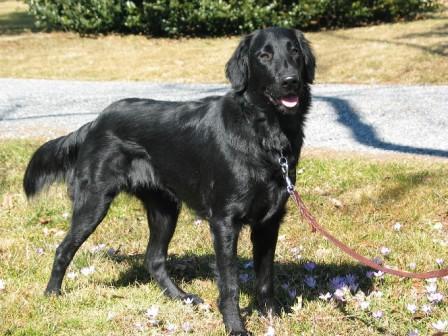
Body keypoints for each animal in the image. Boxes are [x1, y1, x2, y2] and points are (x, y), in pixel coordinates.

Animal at [23, 27, 316, 334]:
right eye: (264, 55)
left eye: (294, 51)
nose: (290, 81)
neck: (264, 133)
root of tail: (96, 121)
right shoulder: (224, 221)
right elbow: (230, 284)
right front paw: (235, 326)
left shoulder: (269, 220)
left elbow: (265, 277)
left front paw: (272, 317)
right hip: (93, 203)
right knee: (63, 248)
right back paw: (52, 294)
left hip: (164, 208)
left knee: (153, 259)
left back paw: (182, 297)